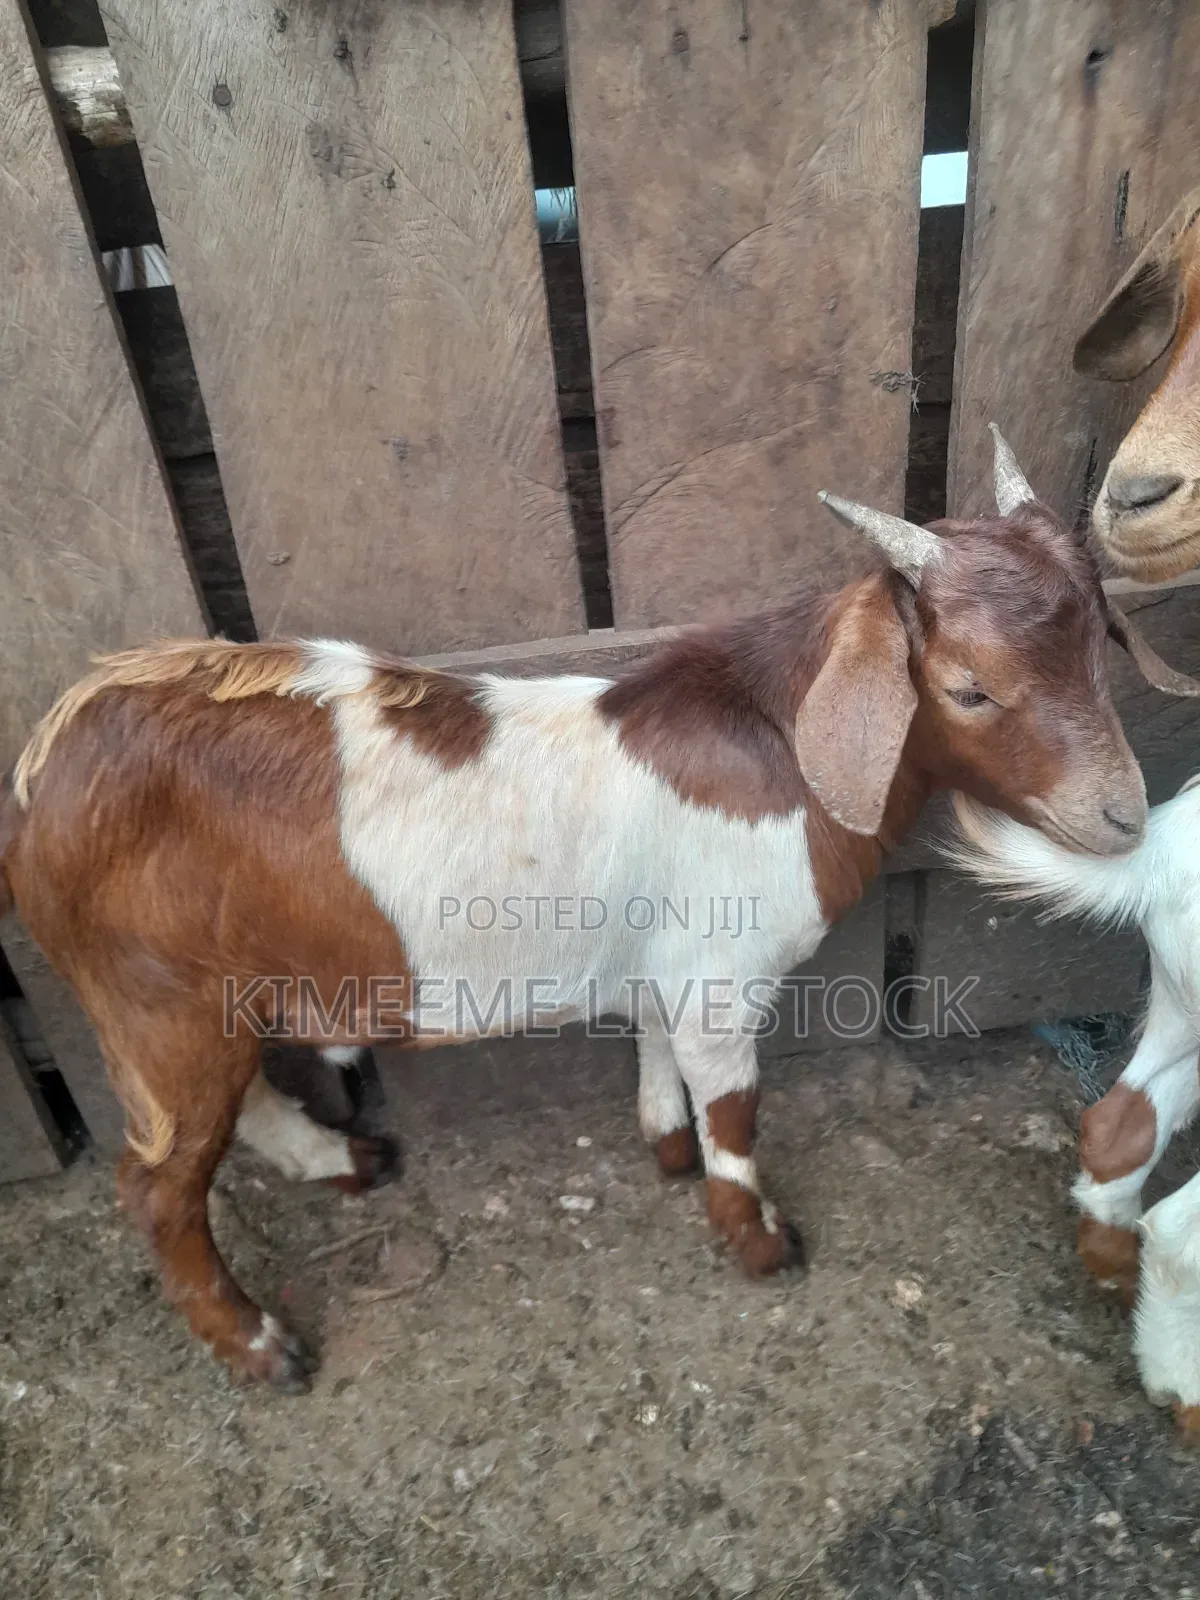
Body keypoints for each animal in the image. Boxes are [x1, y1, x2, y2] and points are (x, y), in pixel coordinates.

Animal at [0, 430, 1184, 1392]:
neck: (779, 744)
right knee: (157, 1185)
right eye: (970, 687)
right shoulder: (722, 974)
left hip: (197, 997)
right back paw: (259, 1348)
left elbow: (655, 1047)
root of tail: (51, 761)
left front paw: (664, 1148)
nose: (1125, 815)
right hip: (153, 998)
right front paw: (757, 1239)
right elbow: (737, 1110)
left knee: (231, 1112)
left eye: (1100, 644)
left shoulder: (662, 958)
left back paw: (345, 1163)